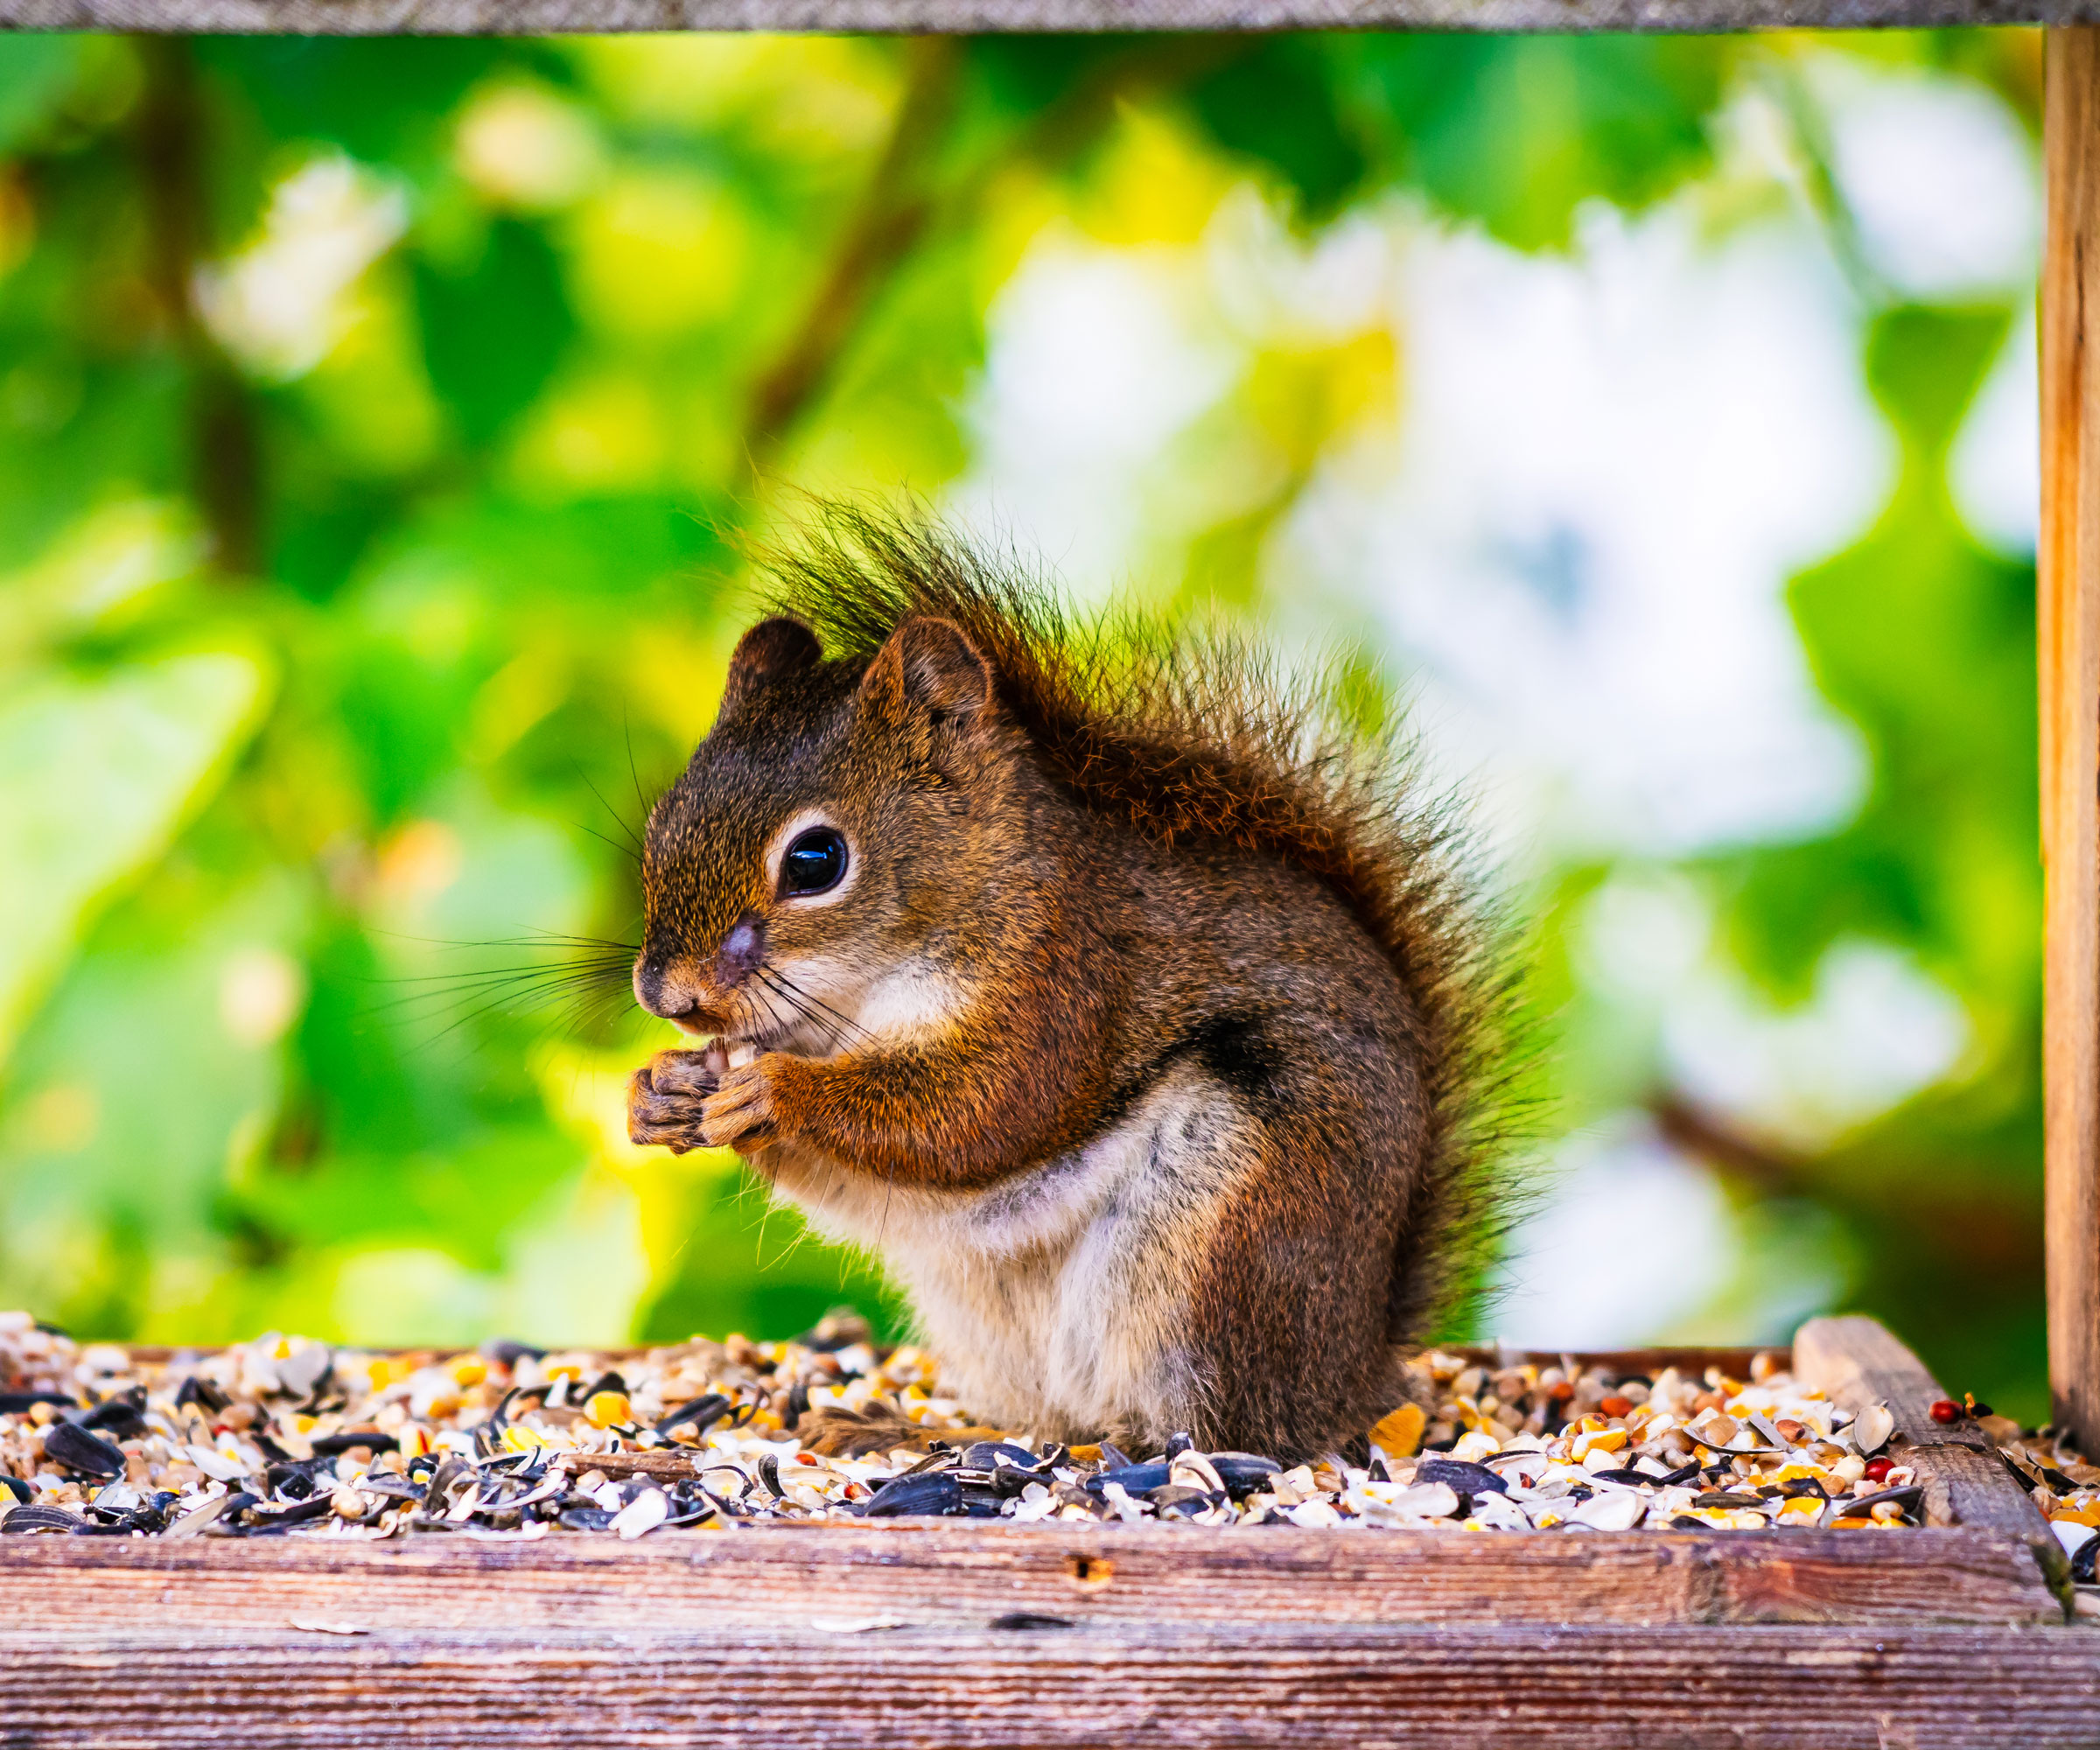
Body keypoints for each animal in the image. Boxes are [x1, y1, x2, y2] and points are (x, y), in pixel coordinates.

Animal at [626, 506, 1519, 1462]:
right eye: (662, 822)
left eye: (816, 859)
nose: (667, 998)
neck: (856, 1001)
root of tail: (1354, 1368)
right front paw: (661, 1092)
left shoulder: (1066, 979)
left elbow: (982, 1108)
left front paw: (771, 1090)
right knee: (1048, 1415)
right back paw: (898, 1425)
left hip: (1217, 1248)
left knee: (1197, 1427)